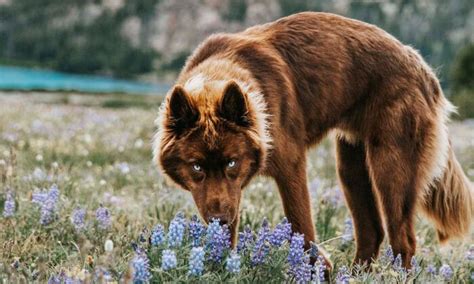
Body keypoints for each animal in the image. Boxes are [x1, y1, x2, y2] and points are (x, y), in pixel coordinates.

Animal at [154, 11, 472, 268]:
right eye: (196, 167)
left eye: (232, 162)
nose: (218, 220)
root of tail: (423, 68)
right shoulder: (230, 193)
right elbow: (228, 236)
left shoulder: (290, 166)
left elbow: (301, 227)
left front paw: (318, 270)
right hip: (351, 165)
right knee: (372, 232)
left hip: (391, 167)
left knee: (403, 240)